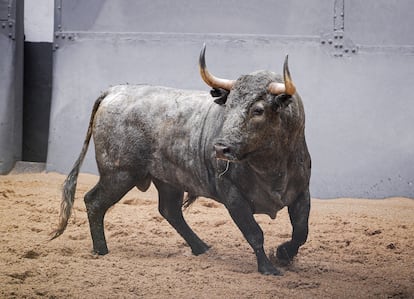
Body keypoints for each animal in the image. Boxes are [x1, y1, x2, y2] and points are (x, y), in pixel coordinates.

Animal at [51, 44, 310, 276]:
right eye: (228, 107)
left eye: (258, 110)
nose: (220, 148)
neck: (271, 167)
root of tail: (114, 91)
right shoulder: (232, 194)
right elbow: (254, 233)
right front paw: (268, 268)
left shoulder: (301, 192)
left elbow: (301, 231)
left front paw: (283, 254)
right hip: (120, 174)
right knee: (94, 201)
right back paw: (101, 251)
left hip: (167, 179)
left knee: (170, 210)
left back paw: (201, 247)